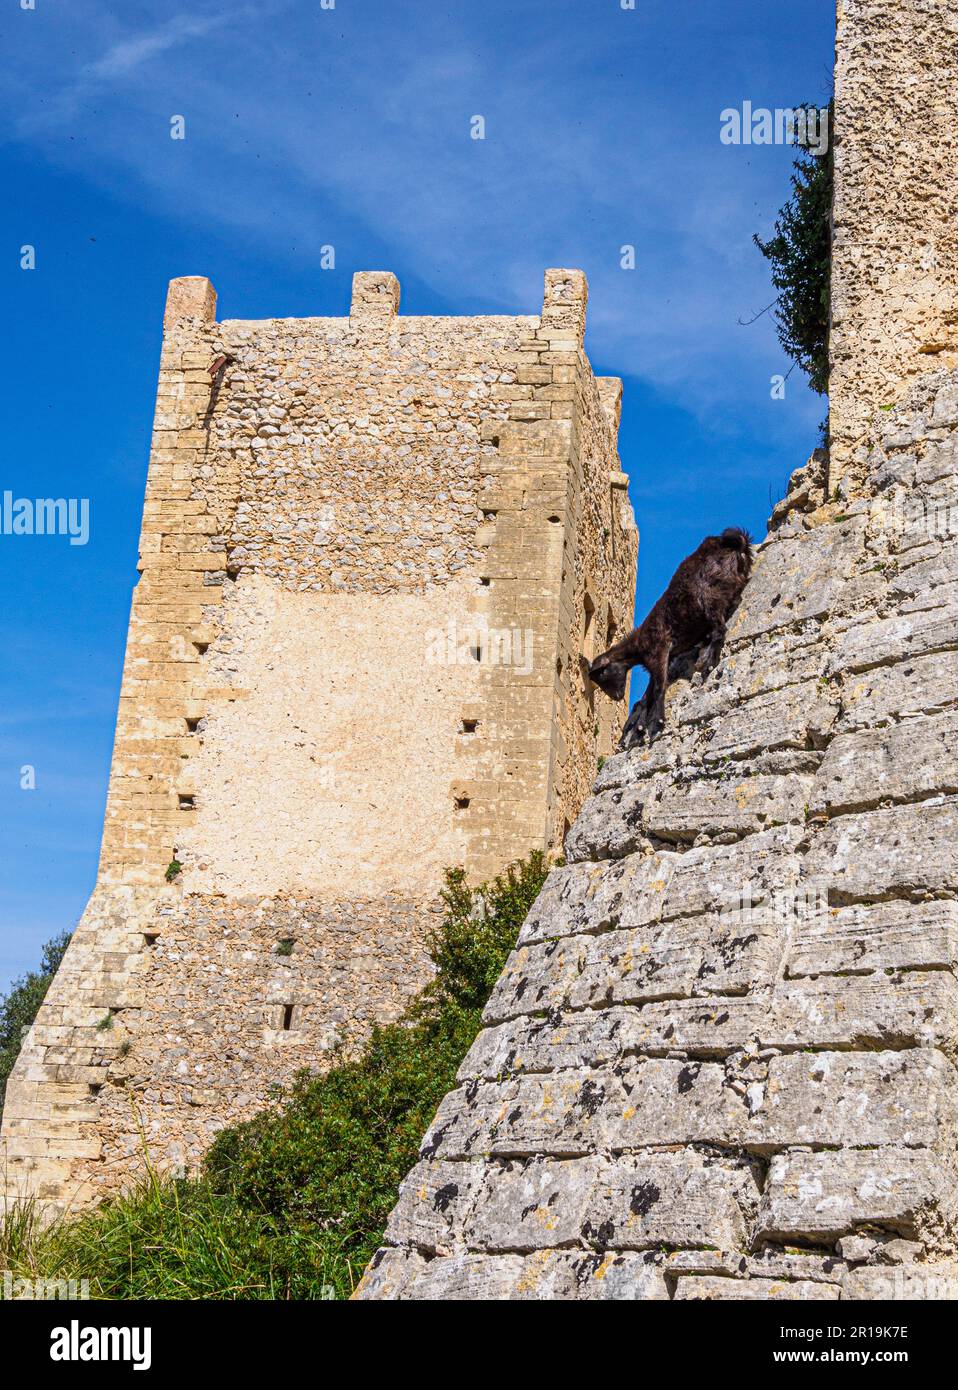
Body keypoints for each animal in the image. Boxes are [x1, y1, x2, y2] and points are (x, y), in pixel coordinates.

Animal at [589, 527, 754, 744]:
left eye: (602, 673)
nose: (616, 696)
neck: (638, 647)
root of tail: (735, 543)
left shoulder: (659, 650)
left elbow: (659, 687)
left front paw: (656, 722)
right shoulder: (658, 661)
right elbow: (648, 695)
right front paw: (639, 726)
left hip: (708, 596)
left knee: (720, 630)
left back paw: (708, 660)